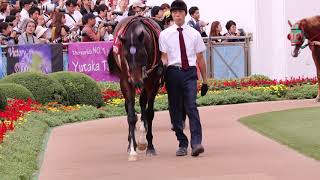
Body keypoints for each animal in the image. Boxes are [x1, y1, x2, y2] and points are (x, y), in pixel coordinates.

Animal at [108, 16, 164, 161]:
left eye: (142, 55)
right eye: (126, 56)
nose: (136, 82)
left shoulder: (153, 81)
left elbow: (149, 113)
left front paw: (150, 146)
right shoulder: (126, 81)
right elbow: (131, 116)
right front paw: (133, 149)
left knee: (143, 103)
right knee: (130, 107)